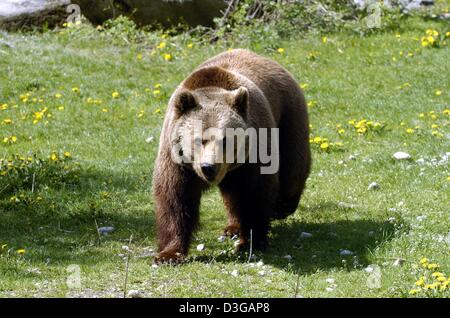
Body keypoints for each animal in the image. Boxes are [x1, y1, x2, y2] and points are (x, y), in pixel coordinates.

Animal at [151, 48, 310, 264]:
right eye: (199, 139)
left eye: (225, 139)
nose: (209, 167)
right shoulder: (177, 159)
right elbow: (175, 198)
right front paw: (168, 254)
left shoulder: (254, 154)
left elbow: (253, 193)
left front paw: (251, 242)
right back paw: (232, 227)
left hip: (288, 117)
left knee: (292, 169)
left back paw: (281, 207)